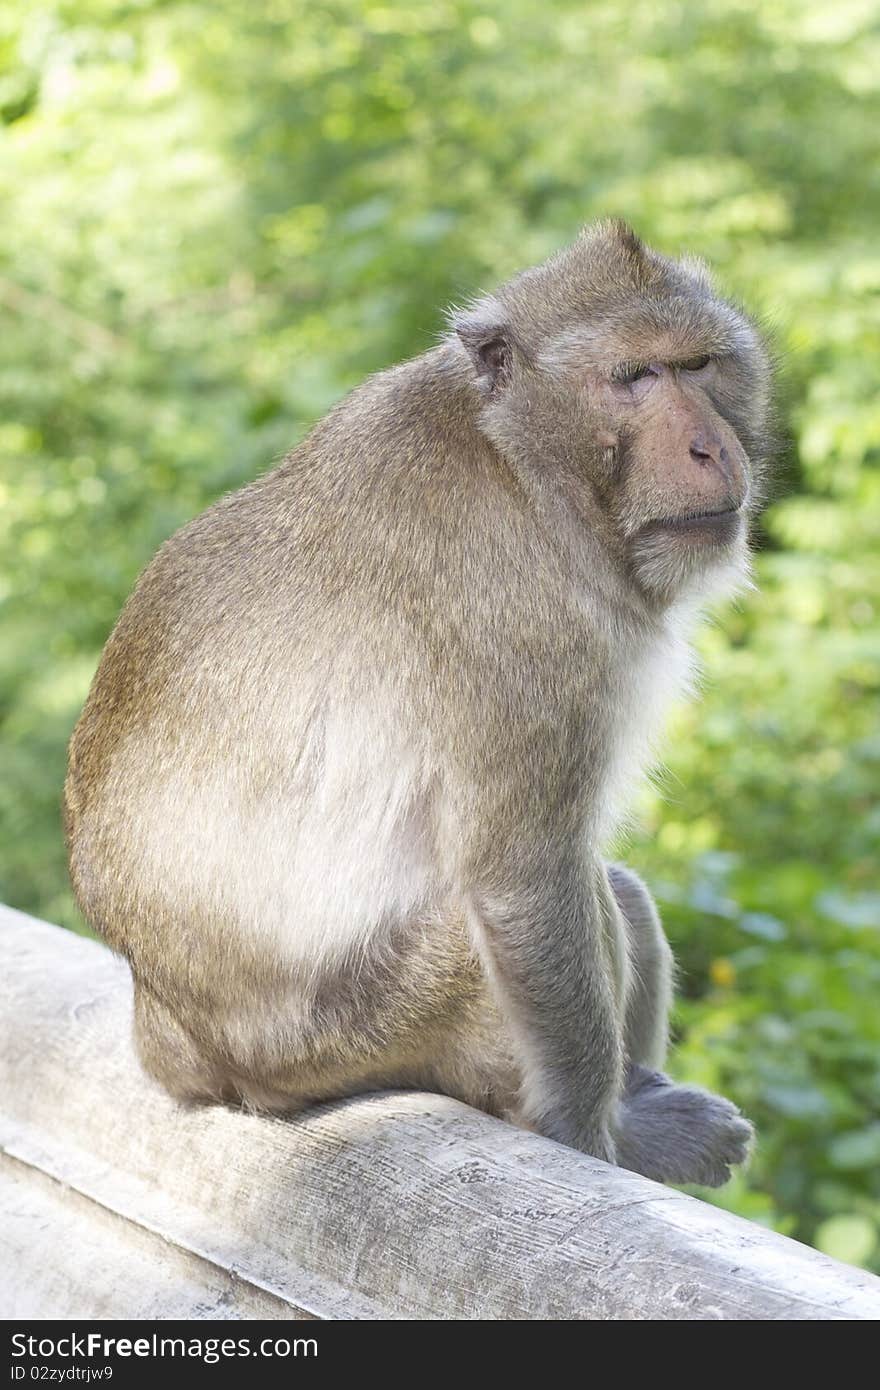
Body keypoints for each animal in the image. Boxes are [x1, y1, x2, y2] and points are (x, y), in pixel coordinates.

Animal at [63, 216, 767, 1184]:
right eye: (633, 378)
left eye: (698, 366)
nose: (710, 447)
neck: (522, 465)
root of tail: (173, 1040)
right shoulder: (531, 630)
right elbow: (523, 877)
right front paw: (587, 1140)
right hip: (362, 1032)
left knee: (613, 886)